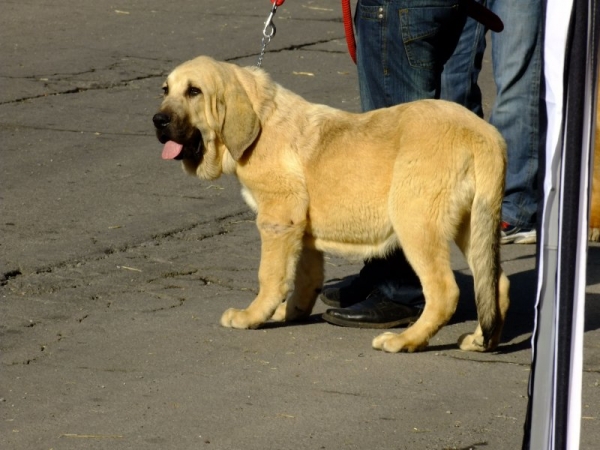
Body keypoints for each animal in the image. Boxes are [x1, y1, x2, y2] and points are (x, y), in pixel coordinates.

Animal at [152, 55, 508, 352]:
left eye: (195, 91)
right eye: (165, 89)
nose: (158, 120)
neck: (260, 120)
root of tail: (484, 134)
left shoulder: (277, 220)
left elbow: (270, 276)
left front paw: (251, 316)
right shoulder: (303, 231)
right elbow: (304, 279)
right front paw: (290, 312)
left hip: (416, 224)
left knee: (445, 292)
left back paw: (404, 341)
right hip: (471, 225)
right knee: (494, 283)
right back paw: (481, 340)